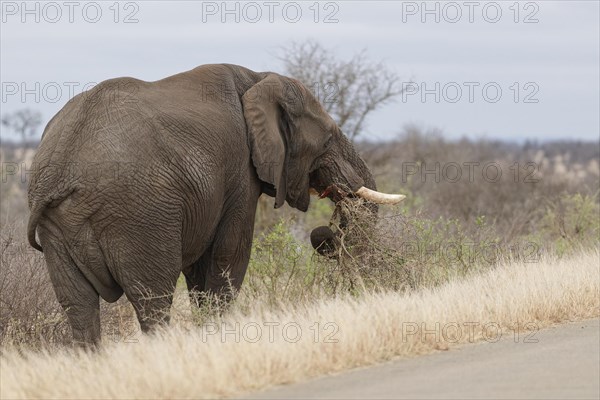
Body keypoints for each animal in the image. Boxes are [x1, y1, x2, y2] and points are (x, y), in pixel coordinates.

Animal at [27, 64, 404, 346]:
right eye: (326, 140)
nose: (325, 232)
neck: (257, 79)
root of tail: (58, 168)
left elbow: (200, 271)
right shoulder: (238, 171)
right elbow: (229, 254)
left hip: (58, 228)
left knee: (78, 306)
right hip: (136, 216)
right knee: (153, 300)